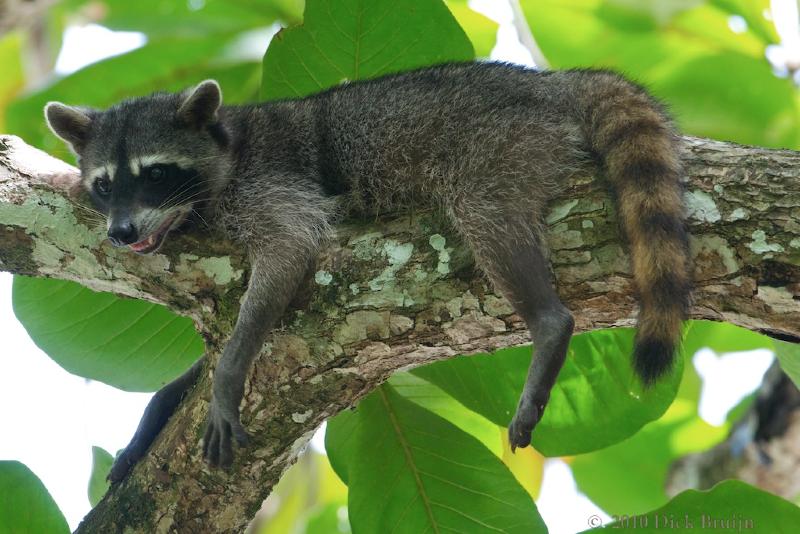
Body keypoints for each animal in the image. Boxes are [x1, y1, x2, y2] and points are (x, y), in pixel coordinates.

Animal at [43, 61, 692, 482]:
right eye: (105, 185)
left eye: (154, 173)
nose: (122, 231)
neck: (227, 143)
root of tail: (551, 81)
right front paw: (155, 414)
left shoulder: (269, 186)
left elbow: (288, 251)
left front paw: (227, 375)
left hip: (499, 144)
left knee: (487, 213)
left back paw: (549, 323)